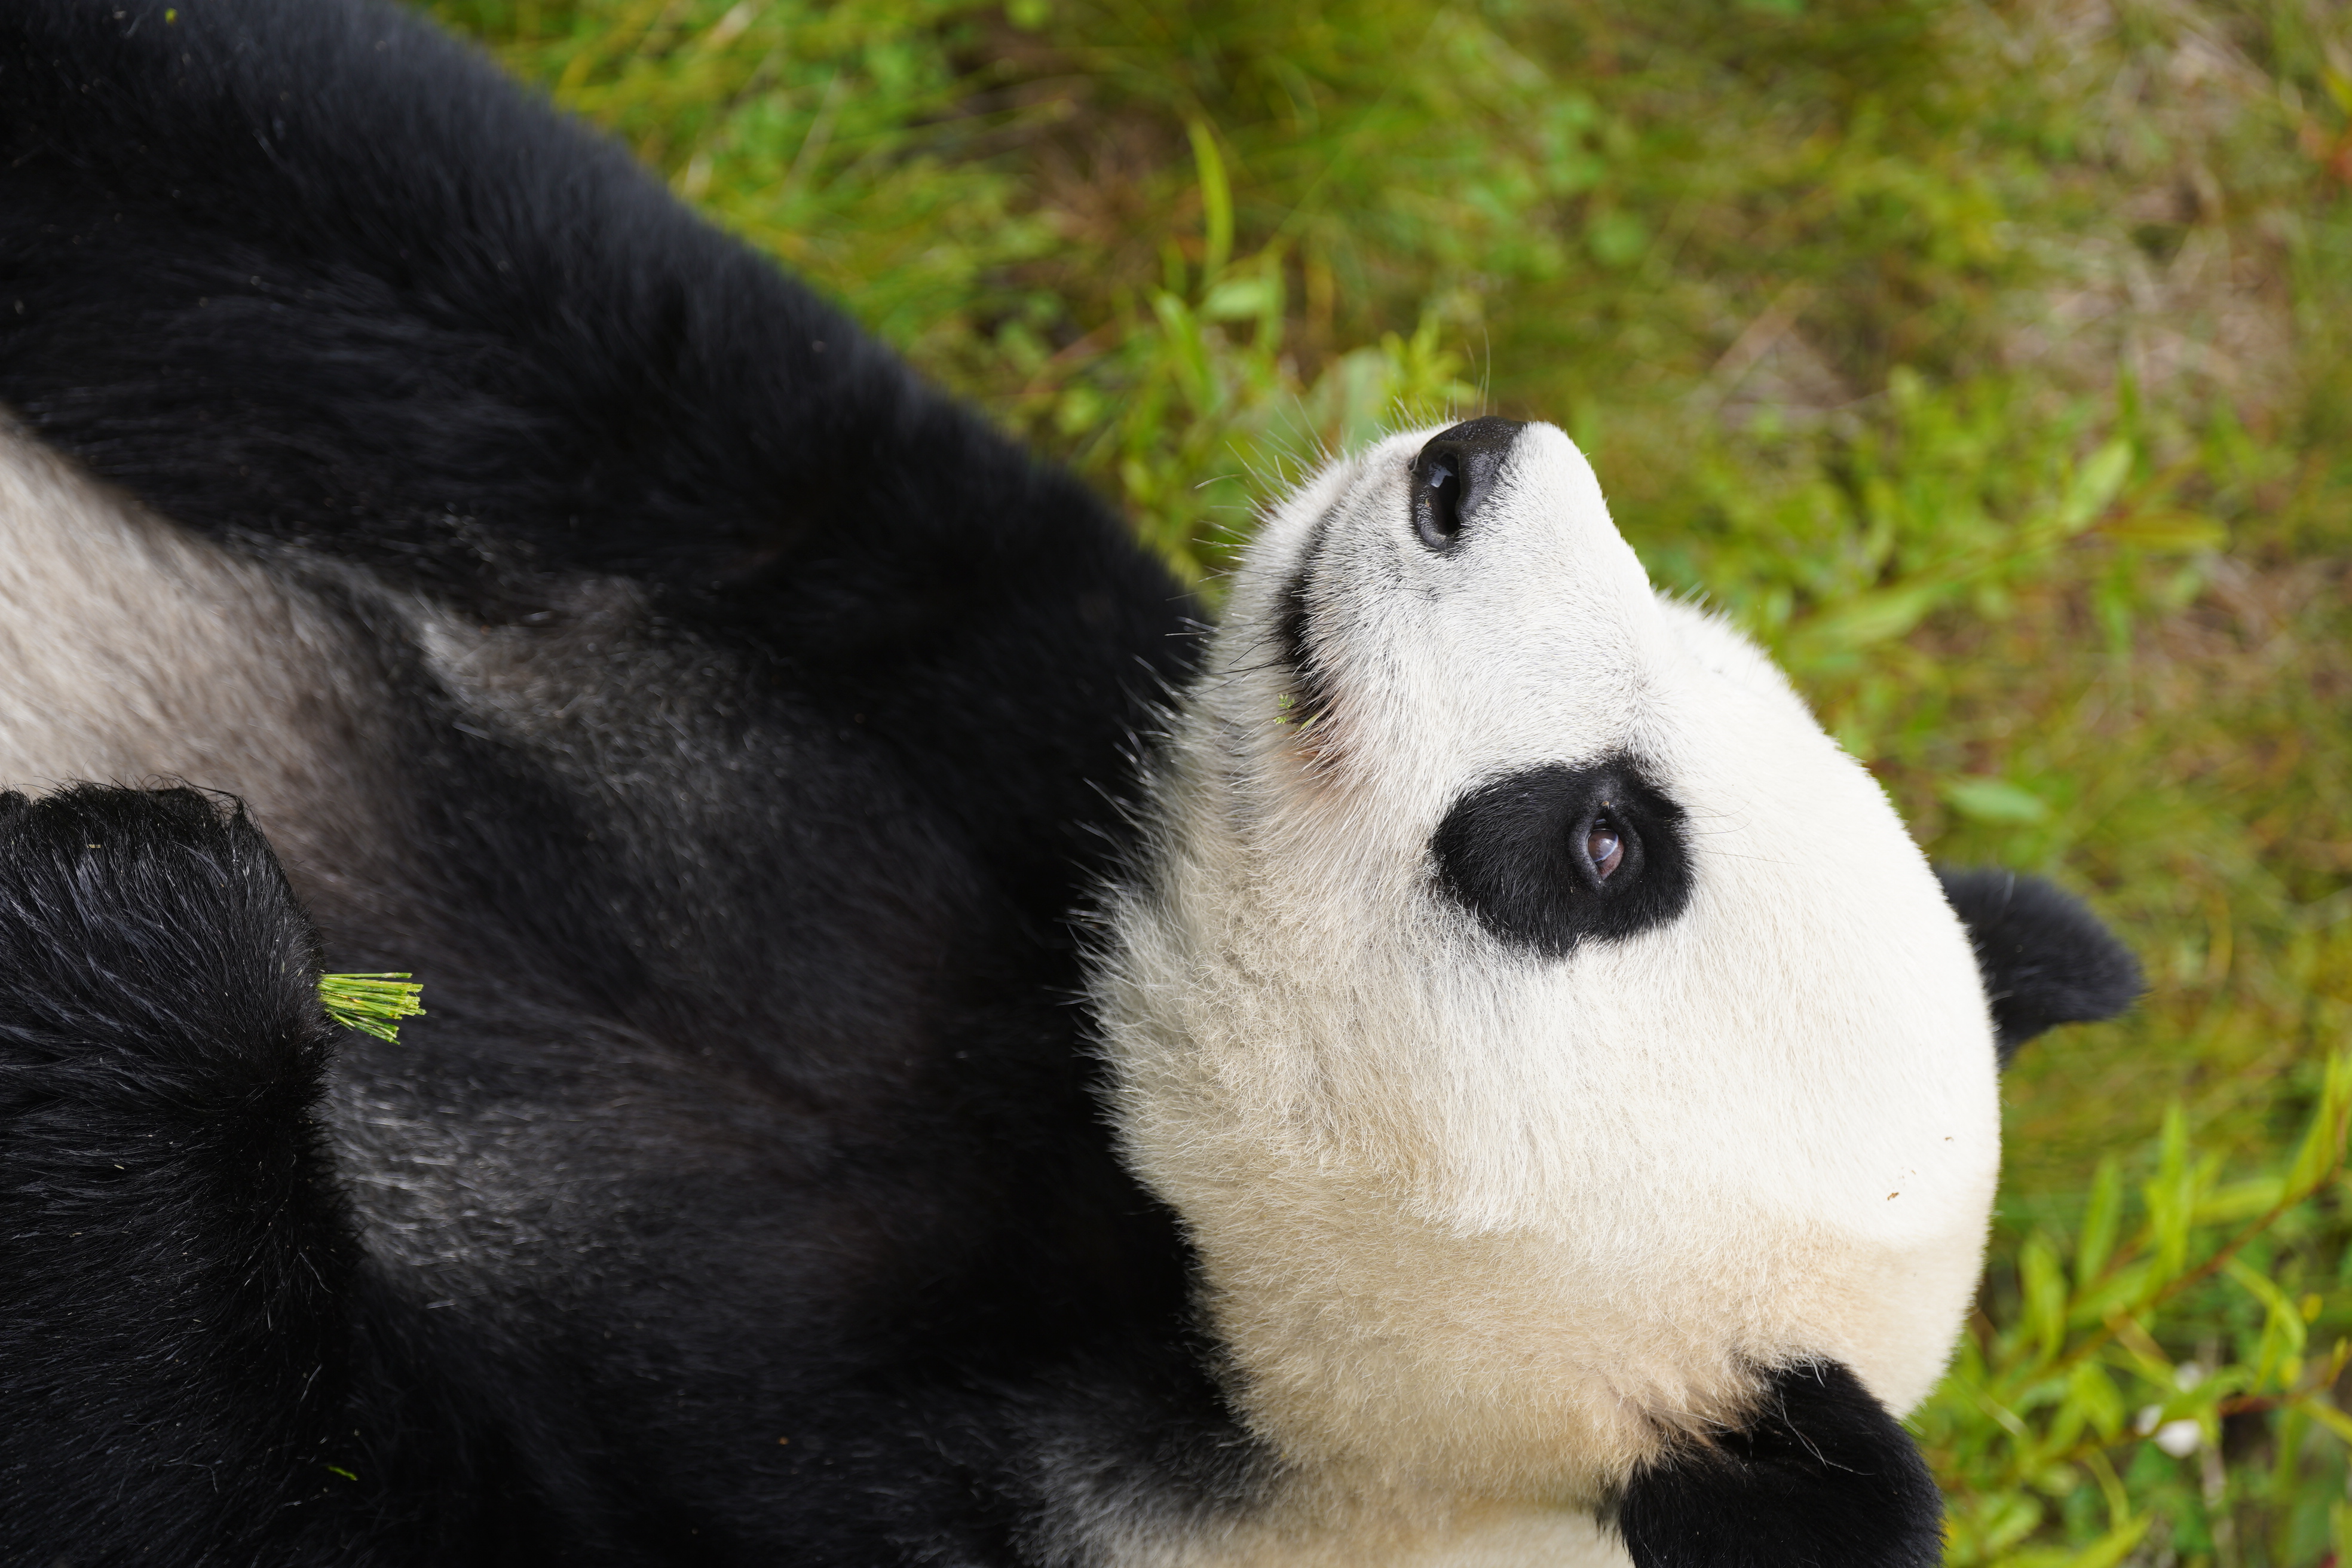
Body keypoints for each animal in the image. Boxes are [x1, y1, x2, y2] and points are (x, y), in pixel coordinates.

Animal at [0, 1, 2139, 1564]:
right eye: (1697, 643)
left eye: (1603, 845)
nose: (1469, 463)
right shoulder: (1013, 704)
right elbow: (517, 318)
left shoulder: (943, 1515)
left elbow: (296, 1502)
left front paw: (147, 939)